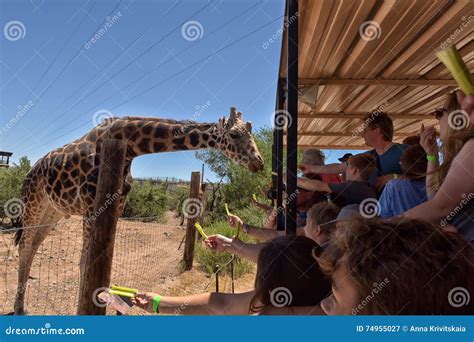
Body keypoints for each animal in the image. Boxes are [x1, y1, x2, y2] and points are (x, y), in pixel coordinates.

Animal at [12, 105, 262, 314]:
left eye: (250, 134)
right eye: (235, 134)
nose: (258, 162)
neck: (130, 147)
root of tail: (29, 172)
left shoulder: (116, 204)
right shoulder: (91, 204)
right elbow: (85, 261)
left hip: (52, 212)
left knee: (32, 247)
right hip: (33, 203)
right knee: (24, 246)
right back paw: (19, 308)